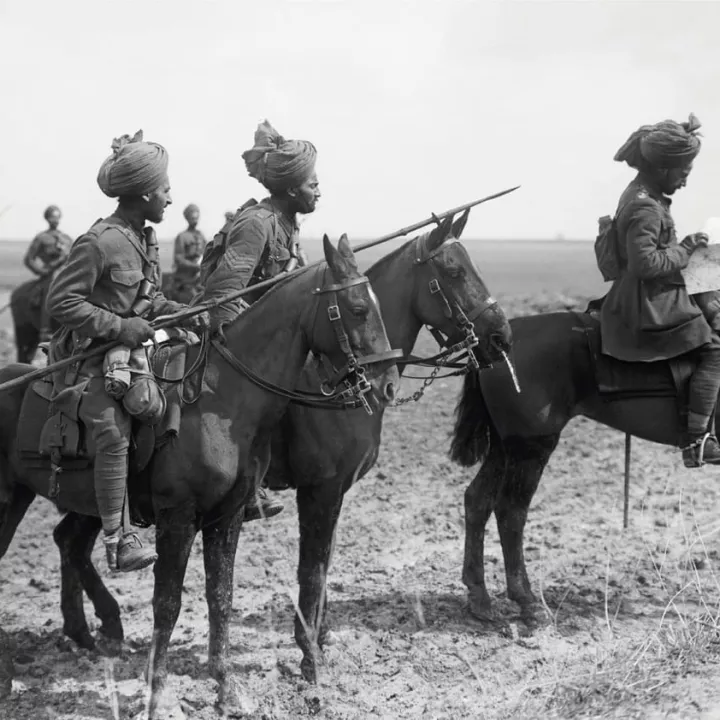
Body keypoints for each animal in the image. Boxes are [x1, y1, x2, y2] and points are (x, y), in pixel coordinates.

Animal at [0, 235, 400, 716]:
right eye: (358, 308)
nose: (387, 382)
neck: (222, 402)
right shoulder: (181, 519)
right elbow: (169, 603)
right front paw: (156, 695)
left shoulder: (227, 518)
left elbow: (220, 596)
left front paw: (227, 689)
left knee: (68, 542)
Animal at [450, 306, 708, 628]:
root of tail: (496, 344)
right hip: (531, 449)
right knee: (511, 512)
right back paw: (527, 601)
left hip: (504, 447)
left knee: (477, 501)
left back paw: (480, 598)